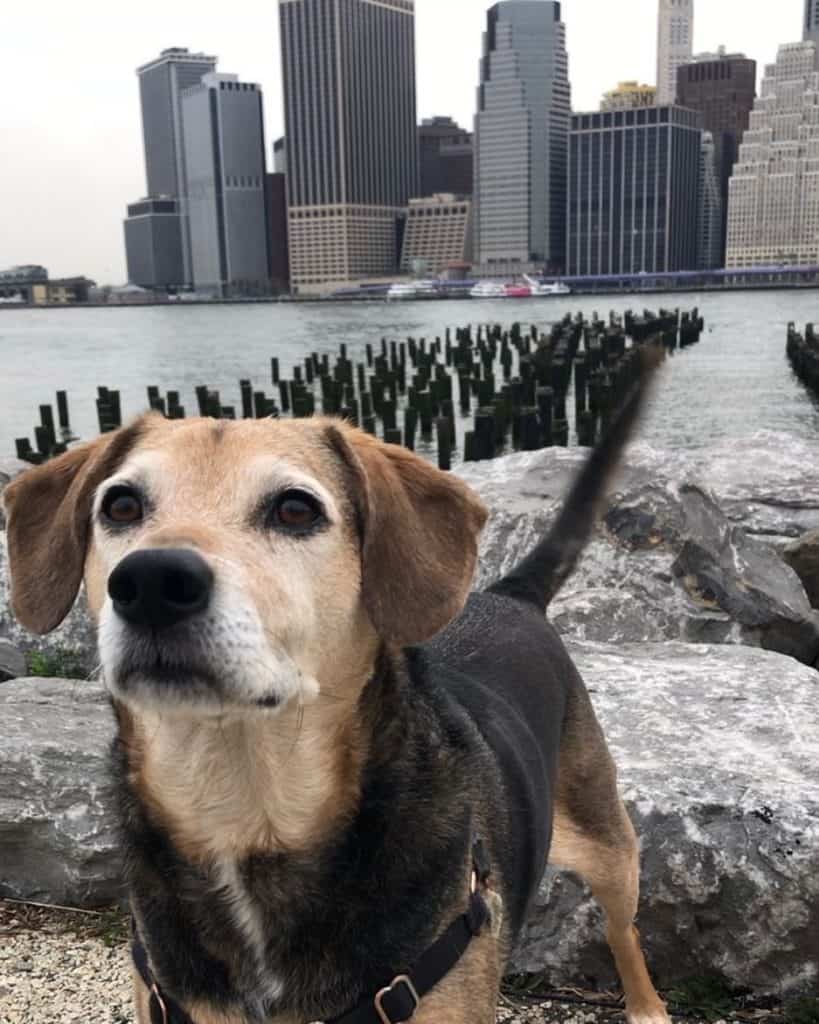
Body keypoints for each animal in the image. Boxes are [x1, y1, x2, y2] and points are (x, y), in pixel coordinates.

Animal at [4, 350, 671, 1024]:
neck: (242, 810)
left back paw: (646, 1005)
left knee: (623, 928)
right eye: (120, 506)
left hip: (610, 844)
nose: (150, 583)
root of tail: (513, 595)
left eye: (296, 509)